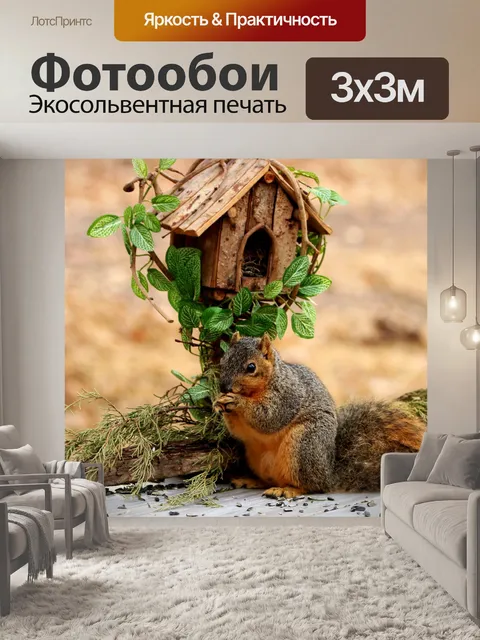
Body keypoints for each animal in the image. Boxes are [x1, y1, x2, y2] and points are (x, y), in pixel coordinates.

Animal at [213, 333, 425, 499]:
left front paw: (237, 401)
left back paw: (288, 490)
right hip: (258, 457)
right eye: (222, 362)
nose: (223, 387)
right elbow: (240, 431)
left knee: (313, 486)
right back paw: (251, 480)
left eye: (251, 367)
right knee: (271, 479)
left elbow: (269, 417)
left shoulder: (288, 396)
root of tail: (329, 473)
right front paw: (218, 403)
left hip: (304, 444)